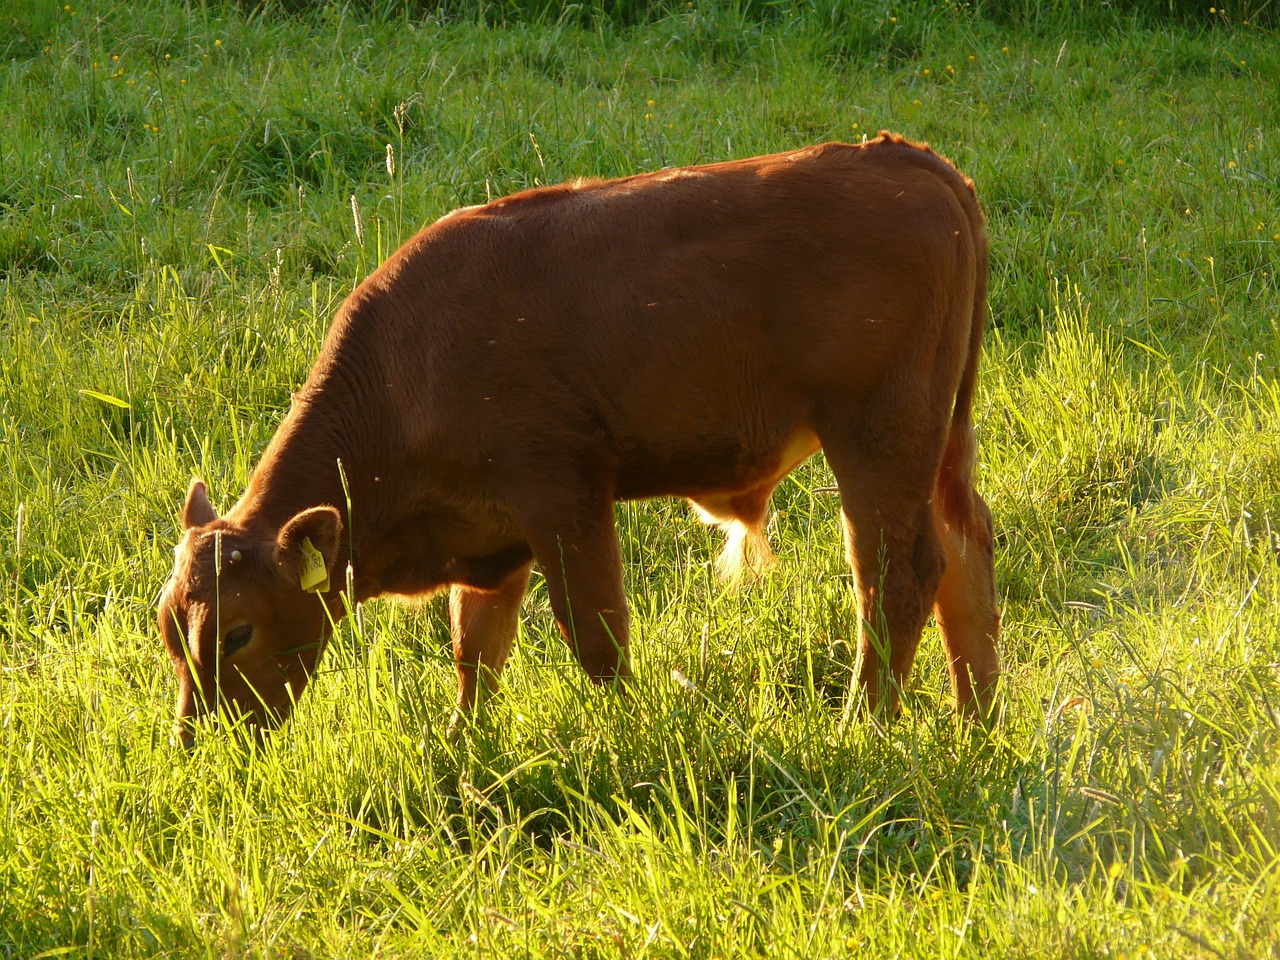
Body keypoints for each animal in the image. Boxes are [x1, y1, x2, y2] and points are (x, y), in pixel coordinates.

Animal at [157, 133, 998, 742]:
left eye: (237, 633)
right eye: (170, 631)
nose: (200, 744)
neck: (405, 368)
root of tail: (903, 158)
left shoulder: (562, 494)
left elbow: (596, 636)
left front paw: (626, 734)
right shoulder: (490, 542)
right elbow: (476, 653)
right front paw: (464, 745)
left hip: (879, 432)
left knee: (897, 574)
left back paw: (862, 727)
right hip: (940, 438)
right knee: (965, 551)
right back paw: (977, 722)